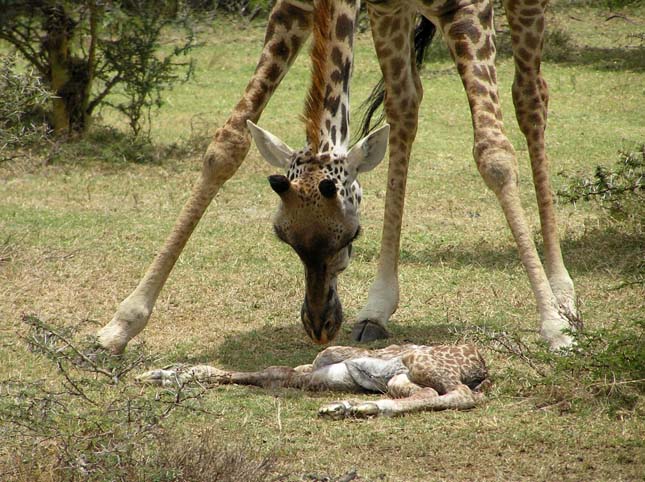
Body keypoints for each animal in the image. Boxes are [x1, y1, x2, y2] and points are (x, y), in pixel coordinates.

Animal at [97, 0, 580, 354]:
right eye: (282, 236)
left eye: (352, 235)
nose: (320, 328)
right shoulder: (304, 6)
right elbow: (225, 145)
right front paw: (121, 324)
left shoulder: (467, 8)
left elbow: (493, 154)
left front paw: (554, 327)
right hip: (393, 17)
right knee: (406, 106)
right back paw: (377, 309)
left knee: (531, 95)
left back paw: (562, 295)